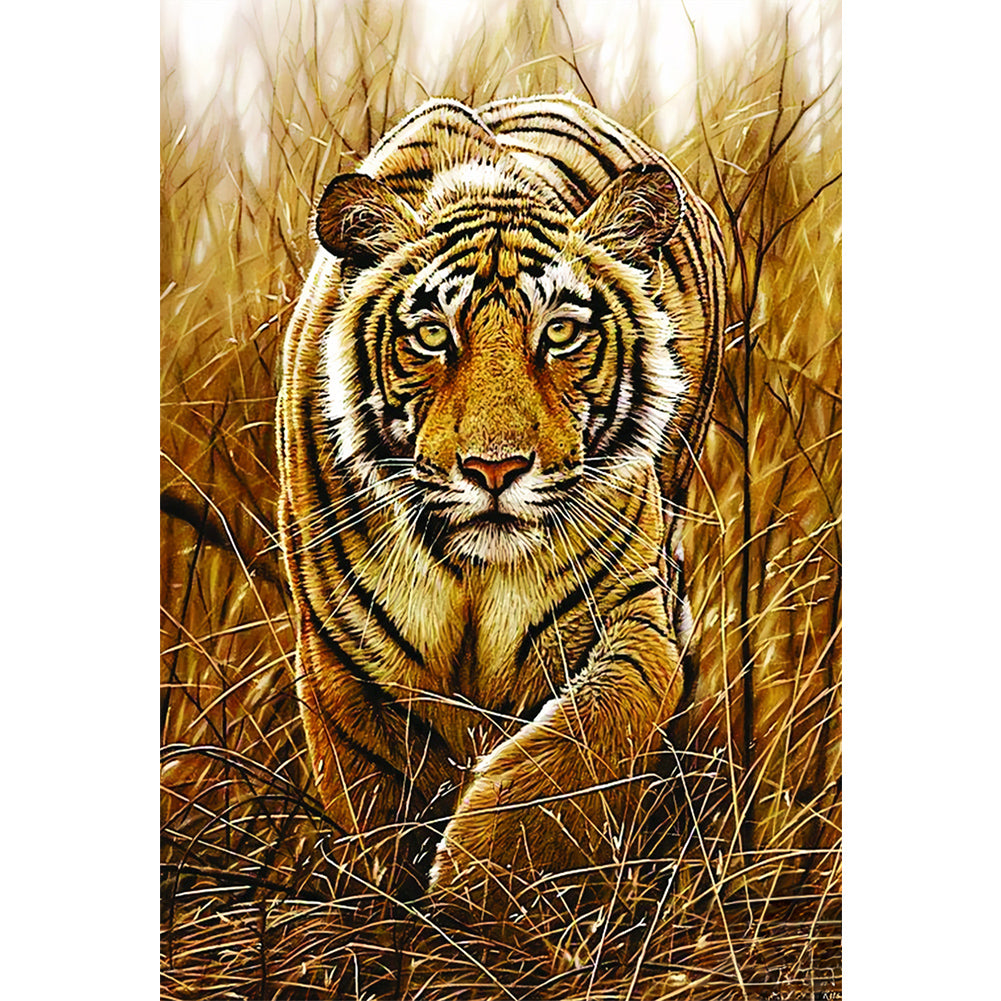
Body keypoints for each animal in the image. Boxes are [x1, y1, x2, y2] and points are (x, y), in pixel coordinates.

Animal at [276, 94, 725, 916]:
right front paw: (397, 916)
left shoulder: (632, 612)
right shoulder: (342, 658)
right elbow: (374, 802)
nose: (495, 468)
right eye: (431, 335)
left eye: (560, 333)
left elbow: (585, 737)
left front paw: (480, 891)